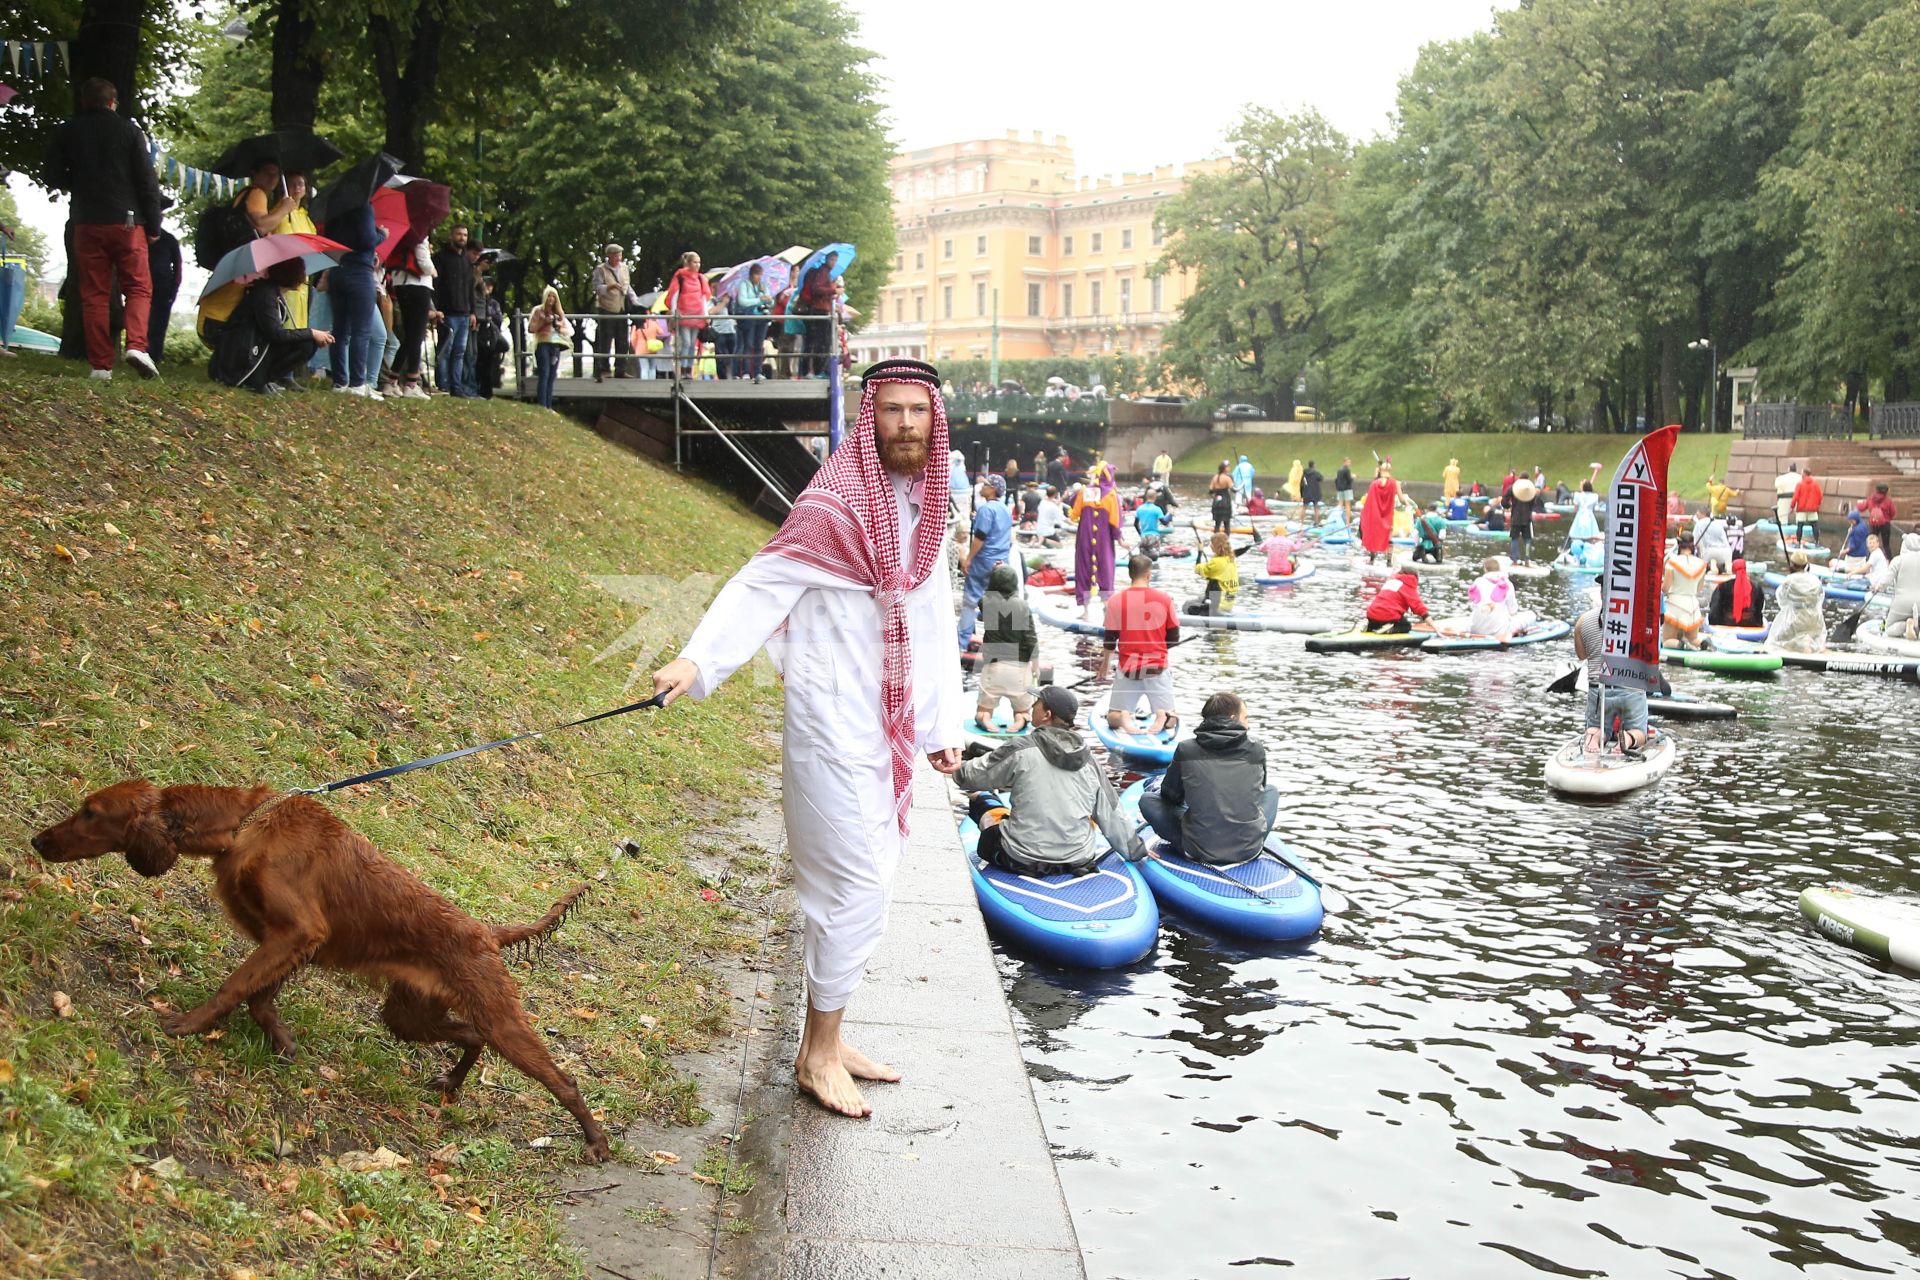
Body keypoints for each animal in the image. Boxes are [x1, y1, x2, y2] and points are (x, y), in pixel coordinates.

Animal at [33, 775, 610, 1166]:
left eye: (91, 811)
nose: (38, 840)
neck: (245, 828)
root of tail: (487, 932)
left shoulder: (297, 932)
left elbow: (235, 986)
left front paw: (187, 1024)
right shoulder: (291, 943)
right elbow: (259, 997)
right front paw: (282, 1043)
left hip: (498, 1019)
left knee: (563, 1081)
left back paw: (596, 1142)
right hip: (409, 1015)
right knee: (471, 1036)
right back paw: (450, 1083)